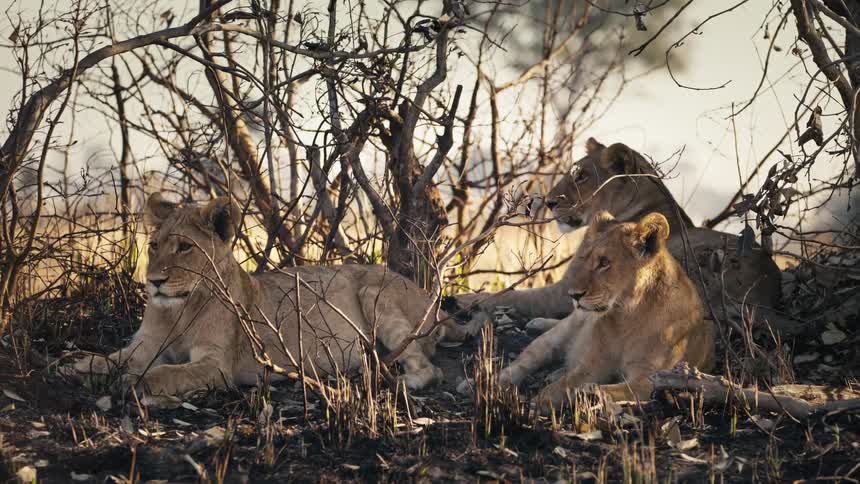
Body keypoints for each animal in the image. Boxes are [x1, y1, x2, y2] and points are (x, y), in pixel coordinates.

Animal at [72, 193, 470, 396]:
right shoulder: (146, 345)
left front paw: (134, 383)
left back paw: (398, 382)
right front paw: (81, 366)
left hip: (379, 297)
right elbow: (114, 357)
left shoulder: (217, 366)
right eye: (153, 246)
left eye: (184, 248)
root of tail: (430, 299)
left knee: (432, 369)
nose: (153, 281)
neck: (179, 309)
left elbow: (167, 372)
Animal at [456, 138, 782, 333]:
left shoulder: (567, 286)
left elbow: (511, 295)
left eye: (581, 176)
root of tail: (767, 293)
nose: (548, 201)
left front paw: (461, 298)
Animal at [459, 211, 714, 405]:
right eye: (583, 258)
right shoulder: (592, 363)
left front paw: (585, 394)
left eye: (604, 263)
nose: (573, 295)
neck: (627, 316)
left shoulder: (653, 377)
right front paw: (541, 401)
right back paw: (477, 383)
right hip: (553, 339)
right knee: (522, 363)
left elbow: (612, 389)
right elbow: (564, 384)